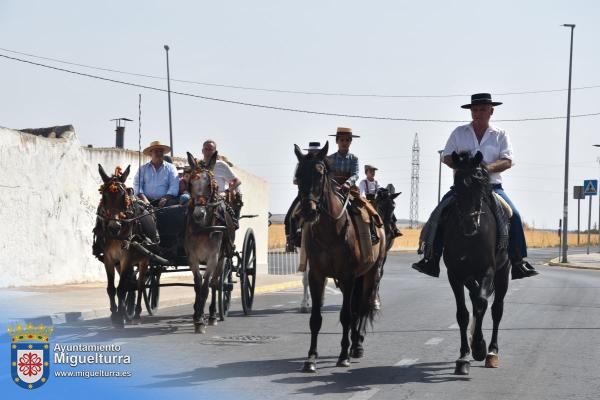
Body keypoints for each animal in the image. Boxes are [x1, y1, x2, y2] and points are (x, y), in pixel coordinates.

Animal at [97, 165, 150, 328]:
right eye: (104, 197)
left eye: (123, 196)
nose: (114, 227)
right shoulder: (109, 259)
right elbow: (111, 289)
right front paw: (115, 314)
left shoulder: (126, 258)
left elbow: (121, 289)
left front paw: (120, 318)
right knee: (130, 283)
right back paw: (128, 313)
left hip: (144, 259)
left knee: (140, 285)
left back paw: (137, 313)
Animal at [184, 152, 233, 332]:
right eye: (191, 183)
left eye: (209, 184)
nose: (199, 214)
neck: (203, 227)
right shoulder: (192, 258)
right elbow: (198, 286)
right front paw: (197, 318)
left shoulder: (213, 257)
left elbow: (206, 287)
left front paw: (201, 321)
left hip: (222, 259)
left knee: (215, 284)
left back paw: (212, 316)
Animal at [294, 141, 386, 372]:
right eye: (298, 175)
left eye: (319, 174)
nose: (308, 212)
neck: (331, 231)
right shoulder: (317, 275)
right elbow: (315, 319)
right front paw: (311, 358)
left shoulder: (348, 275)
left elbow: (346, 315)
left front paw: (343, 355)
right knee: (355, 308)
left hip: (370, 274)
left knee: (360, 308)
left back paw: (357, 346)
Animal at [446, 151, 510, 376]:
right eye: (457, 185)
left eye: (480, 183)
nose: (469, 225)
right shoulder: (455, 274)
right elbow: (463, 314)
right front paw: (464, 357)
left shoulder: (488, 271)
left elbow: (482, 304)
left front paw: (480, 348)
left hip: (503, 274)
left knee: (496, 309)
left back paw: (491, 352)